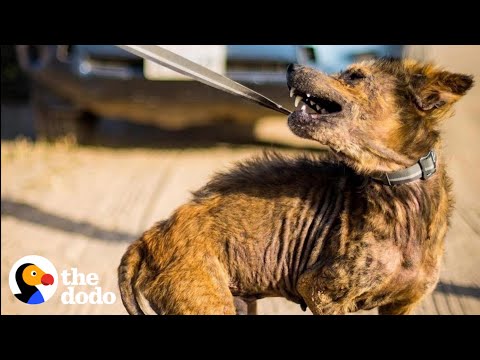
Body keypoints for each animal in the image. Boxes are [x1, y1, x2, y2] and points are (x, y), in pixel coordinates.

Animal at [119, 57, 472, 314]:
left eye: (355, 76)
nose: (292, 67)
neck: (401, 189)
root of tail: (148, 238)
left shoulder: (401, 304)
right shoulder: (321, 291)